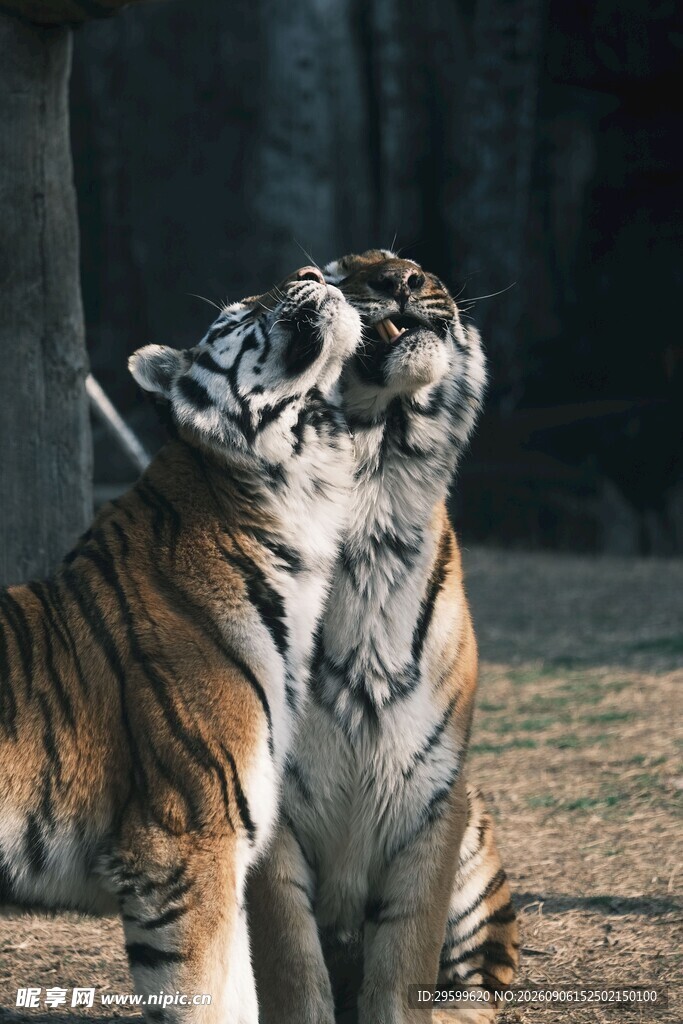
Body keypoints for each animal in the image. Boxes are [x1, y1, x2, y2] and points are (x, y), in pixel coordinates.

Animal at [249, 251, 519, 1024]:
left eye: (416, 267)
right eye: (332, 274)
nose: (402, 278)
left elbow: (404, 960)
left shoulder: (432, 796)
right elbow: (292, 967)